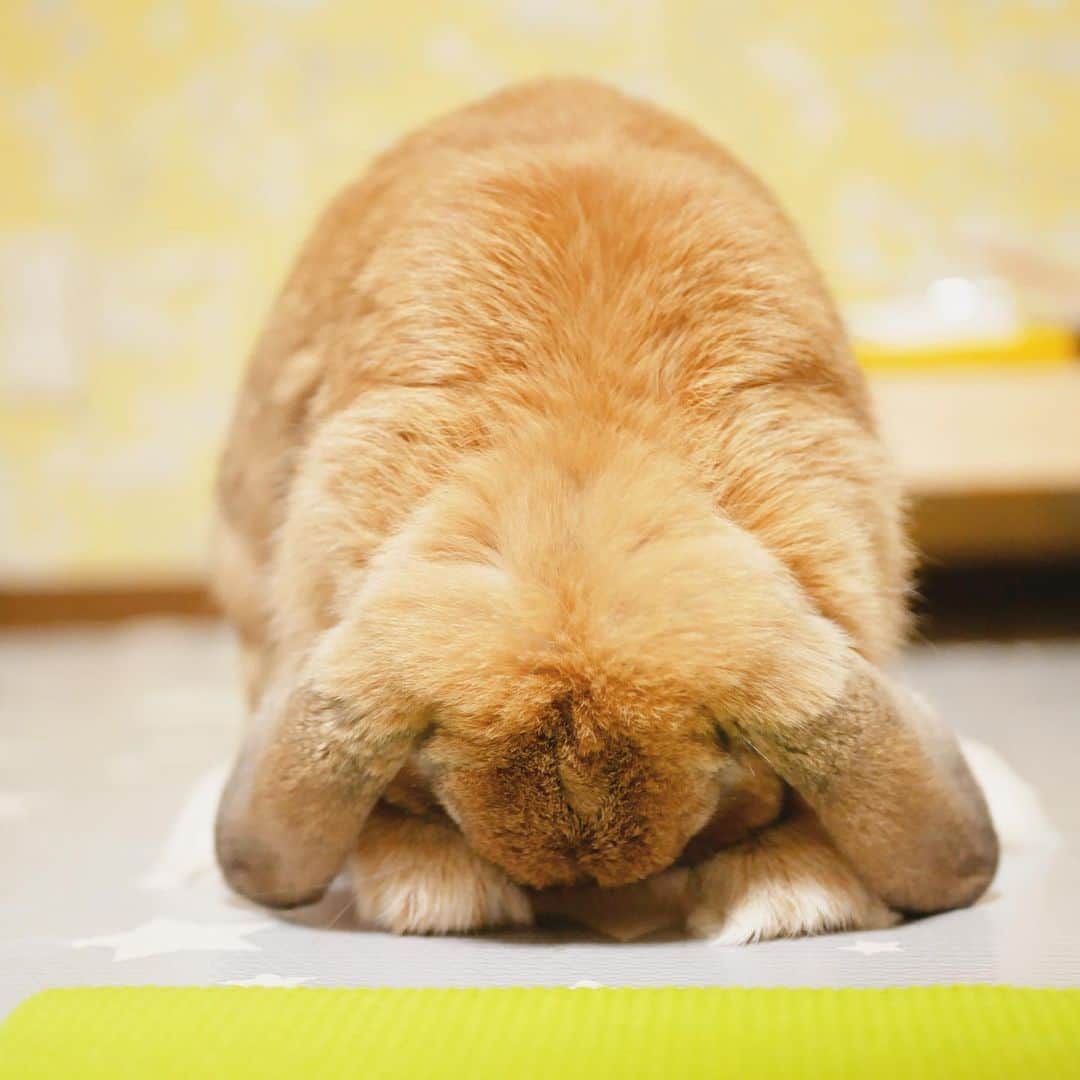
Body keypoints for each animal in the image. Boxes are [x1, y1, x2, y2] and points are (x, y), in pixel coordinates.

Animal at [212, 78, 998, 941]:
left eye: (712, 826)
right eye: (446, 812)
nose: (588, 912)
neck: (581, 449)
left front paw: (793, 895)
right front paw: (435, 887)